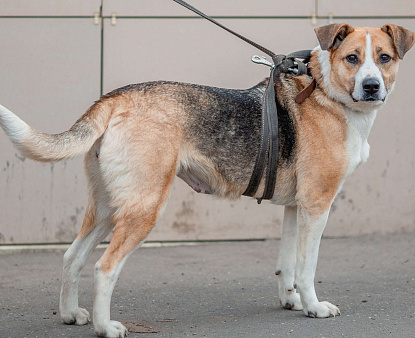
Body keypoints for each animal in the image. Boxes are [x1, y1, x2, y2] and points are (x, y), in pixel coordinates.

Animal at [0, 23, 414, 336]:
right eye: (352, 58)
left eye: (385, 58)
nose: (372, 86)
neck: (327, 92)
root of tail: (117, 98)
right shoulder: (317, 205)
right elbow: (306, 266)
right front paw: (313, 307)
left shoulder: (296, 207)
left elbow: (287, 264)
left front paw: (291, 301)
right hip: (144, 207)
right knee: (105, 267)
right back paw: (106, 327)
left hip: (107, 207)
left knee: (72, 256)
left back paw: (71, 314)